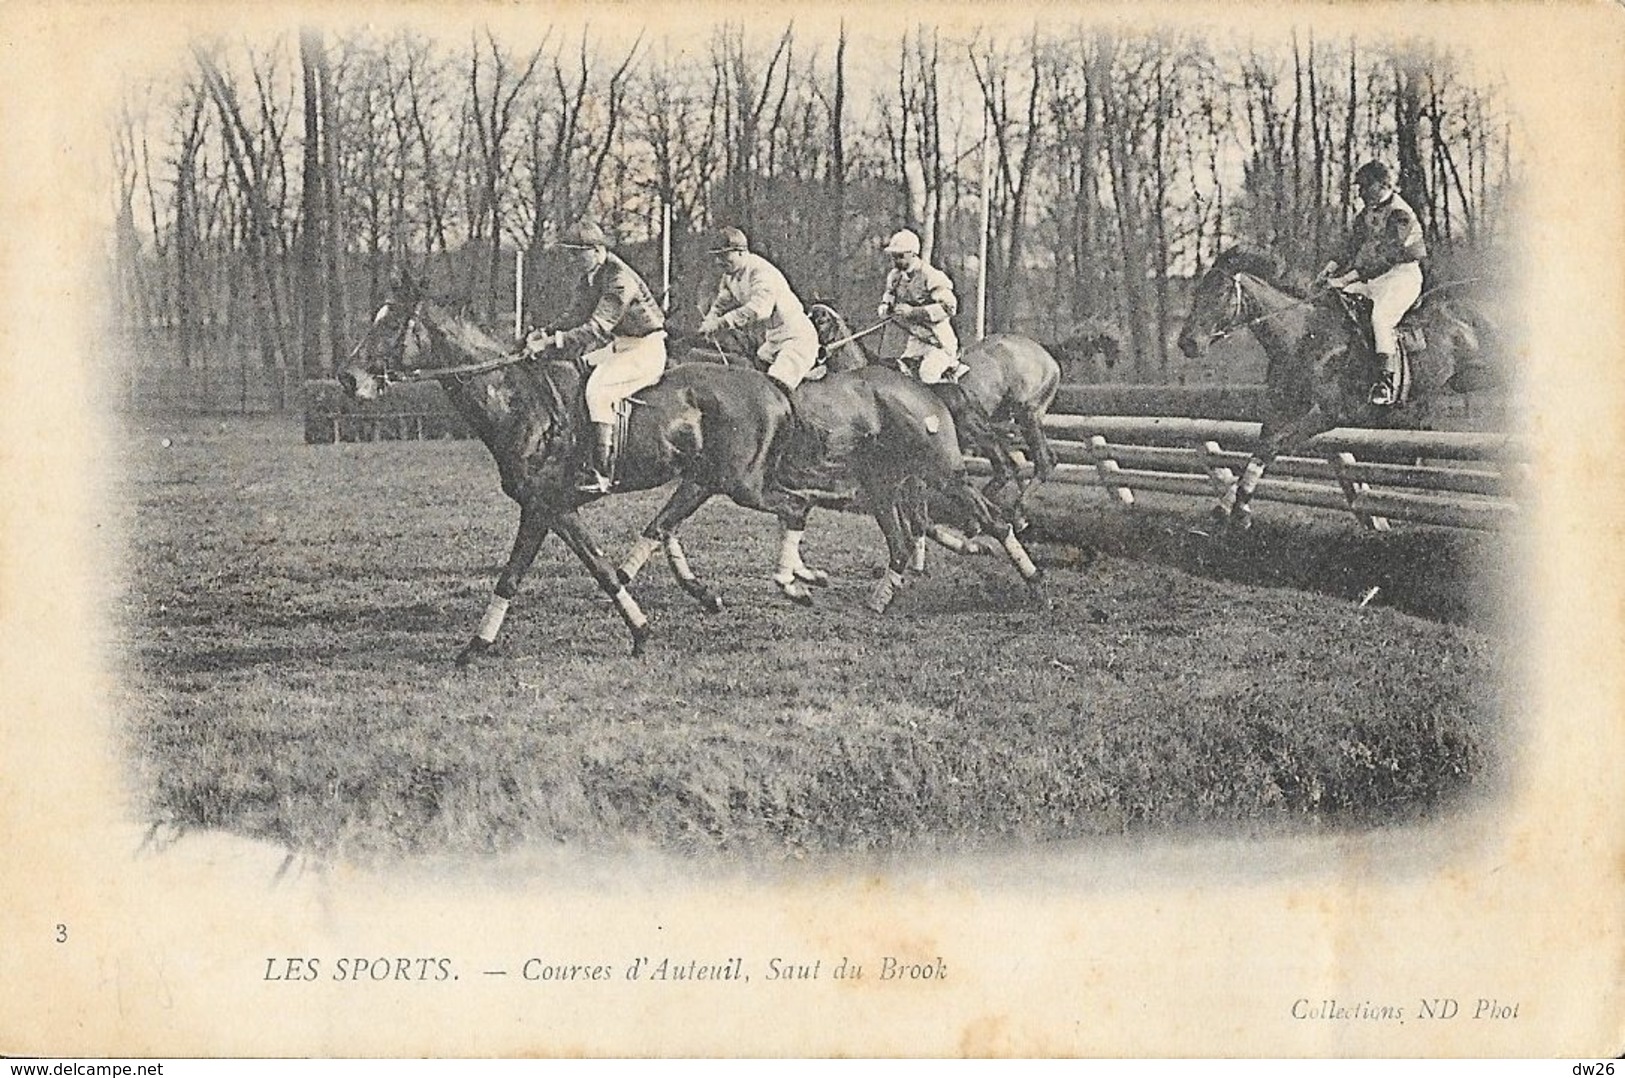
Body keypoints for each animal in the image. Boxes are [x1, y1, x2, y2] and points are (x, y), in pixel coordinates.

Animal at [346, 276, 1053, 666]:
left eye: (389, 326)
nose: (350, 378)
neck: (517, 400)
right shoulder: (571, 504)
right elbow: (629, 551)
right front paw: (658, 615)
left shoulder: (546, 504)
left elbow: (530, 574)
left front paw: (479, 646)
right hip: (845, 484)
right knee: (908, 533)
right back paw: (878, 589)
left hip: (853, 477)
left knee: (973, 505)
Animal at [1170, 245, 1495, 530]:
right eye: (1197, 292)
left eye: (1221, 293)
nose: (1187, 343)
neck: (1304, 335)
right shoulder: (1282, 410)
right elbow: (1260, 451)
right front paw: (1231, 507)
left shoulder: (1328, 415)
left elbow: (1275, 447)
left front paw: (1238, 509)